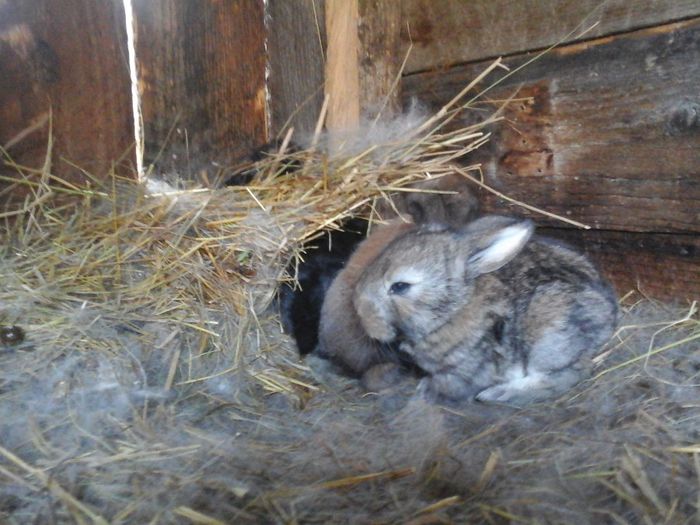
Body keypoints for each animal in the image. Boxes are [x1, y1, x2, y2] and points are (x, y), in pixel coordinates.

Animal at [352, 215, 616, 404]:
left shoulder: (464, 371)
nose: (361, 314)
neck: (453, 309)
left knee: (566, 375)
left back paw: (498, 395)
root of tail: (611, 317)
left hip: (548, 336)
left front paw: (426, 391)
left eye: (400, 286)